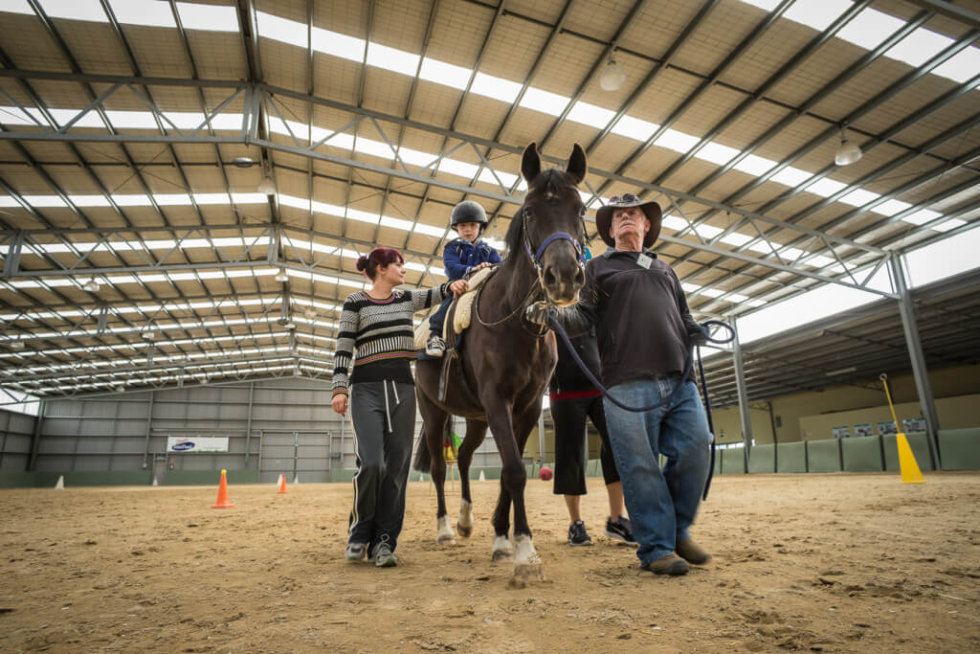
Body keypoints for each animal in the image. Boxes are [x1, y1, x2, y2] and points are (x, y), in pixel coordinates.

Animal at [413, 142, 587, 583]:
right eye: (529, 212)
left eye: (579, 208)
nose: (563, 276)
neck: (519, 321)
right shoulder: (497, 401)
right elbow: (514, 470)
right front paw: (525, 553)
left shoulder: (526, 406)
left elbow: (511, 472)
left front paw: (502, 540)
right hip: (435, 411)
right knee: (438, 467)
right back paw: (445, 529)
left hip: (475, 418)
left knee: (466, 458)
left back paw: (465, 521)